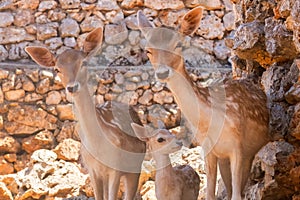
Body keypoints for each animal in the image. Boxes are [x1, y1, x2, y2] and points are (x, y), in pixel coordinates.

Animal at [24, 27, 146, 200]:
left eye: (84, 63)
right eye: (57, 69)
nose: (72, 87)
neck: (98, 146)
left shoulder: (115, 168)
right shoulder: (91, 169)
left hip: (135, 165)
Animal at [137, 6, 270, 200]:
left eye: (178, 45)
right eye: (148, 51)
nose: (162, 72)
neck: (211, 124)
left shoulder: (238, 146)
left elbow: (236, 195)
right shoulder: (208, 149)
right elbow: (210, 193)